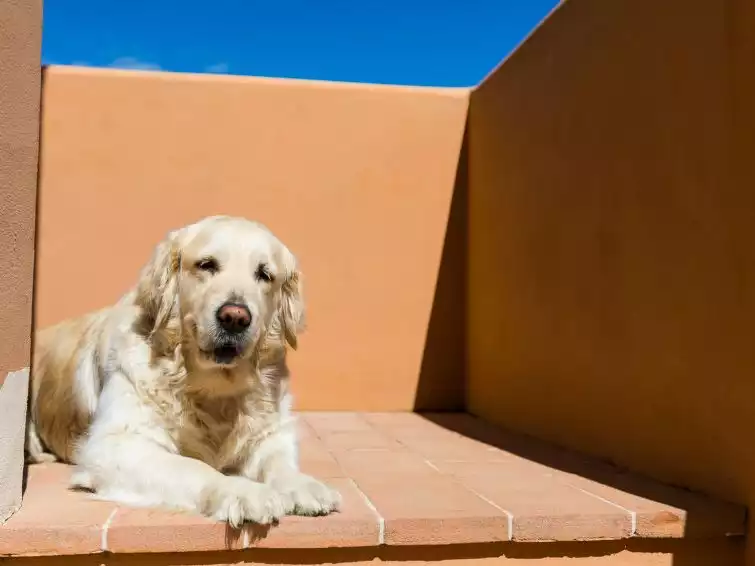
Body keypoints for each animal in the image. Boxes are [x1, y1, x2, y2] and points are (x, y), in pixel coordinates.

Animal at [25, 215, 342, 524]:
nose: (235, 317)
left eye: (264, 274)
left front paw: (302, 485)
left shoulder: (271, 432)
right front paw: (240, 490)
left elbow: (277, 462)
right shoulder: (115, 444)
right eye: (207, 264)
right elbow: (193, 467)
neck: (214, 390)